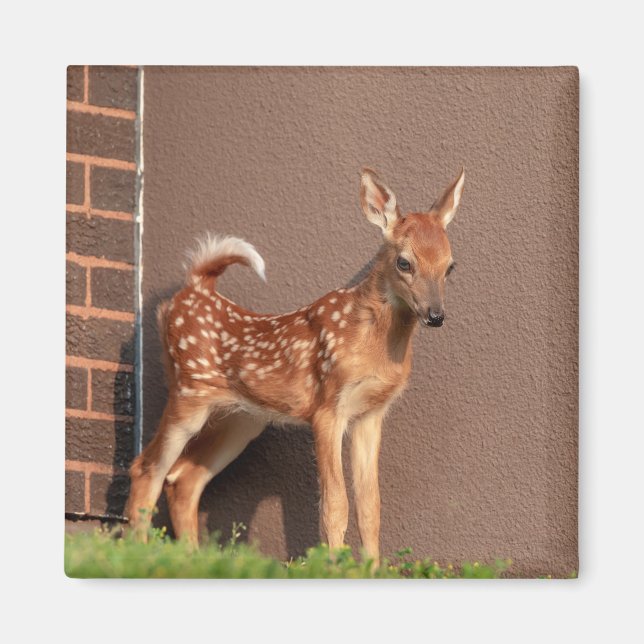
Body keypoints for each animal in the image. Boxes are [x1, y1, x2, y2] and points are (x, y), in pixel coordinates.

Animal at [126, 167, 465, 566]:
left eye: (450, 265)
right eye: (404, 262)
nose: (436, 315)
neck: (373, 344)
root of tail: (194, 287)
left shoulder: (371, 413)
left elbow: (370, 506)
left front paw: (371, 569)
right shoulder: (327, 407)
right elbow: (335, 504)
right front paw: (335, 567)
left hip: (242, 419)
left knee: (183, 477)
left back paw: (192, 559)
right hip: (188, 393)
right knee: (146, 468)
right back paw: (140, 556)